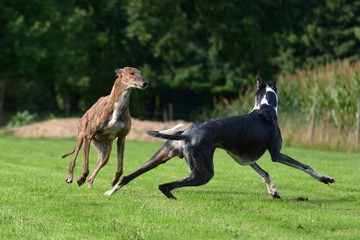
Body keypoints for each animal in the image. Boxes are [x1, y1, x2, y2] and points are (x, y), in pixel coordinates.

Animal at [105, 78, 336, 198]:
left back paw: (111, 191)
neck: (265, 109)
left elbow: (265, 173)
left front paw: (273, 191)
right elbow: (305, 166)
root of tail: (187, 133)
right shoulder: (276, 154)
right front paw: (325, 178)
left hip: (160, 157)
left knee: (128, 176)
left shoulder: (244, 159)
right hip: (204, 172)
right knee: (165, 185)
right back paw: (171, 197)